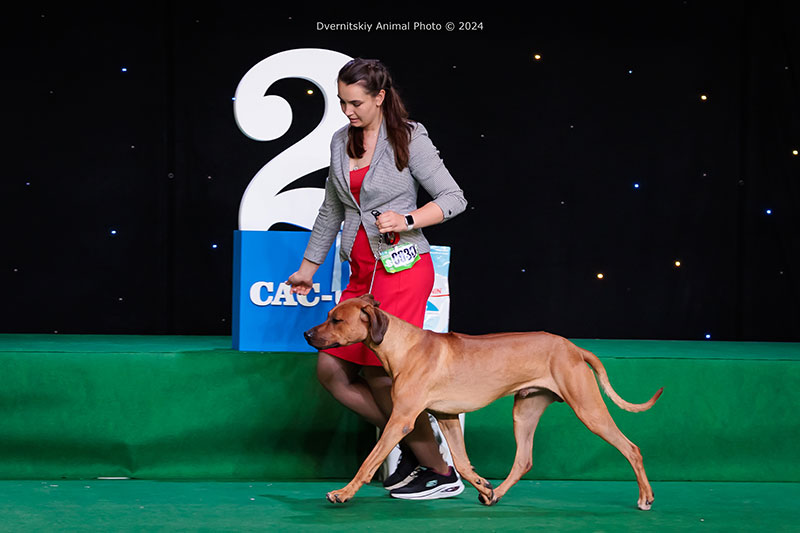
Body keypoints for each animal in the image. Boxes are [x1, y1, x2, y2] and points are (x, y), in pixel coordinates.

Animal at [304, 294, 662, 510]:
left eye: (336, 320)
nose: (307, 335)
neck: (404, 345)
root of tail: (573, 347)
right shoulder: (446, 417)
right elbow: (462, 463)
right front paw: (482, 484)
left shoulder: (401, 419)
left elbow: (369, 461)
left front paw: (343, 493)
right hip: (525, 412)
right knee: (523, 461)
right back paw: (497, 494)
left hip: (589, 410)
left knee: (632, 448)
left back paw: (645, 497)